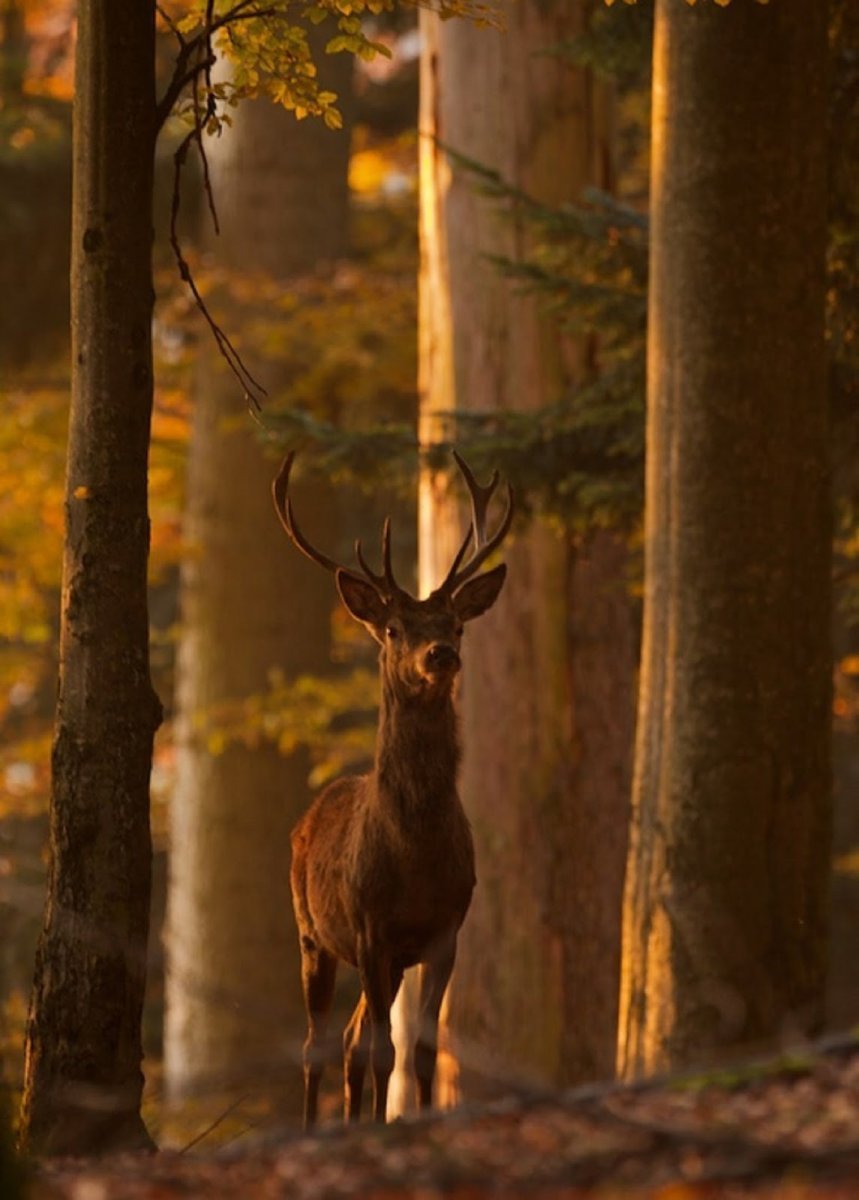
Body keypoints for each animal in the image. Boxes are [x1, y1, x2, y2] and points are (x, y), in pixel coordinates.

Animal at [272, 448, 513, 1123]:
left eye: (456, 624)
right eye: (394, 629)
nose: (441, 655)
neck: (415, 855)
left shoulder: (443, 932)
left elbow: (420, 1051)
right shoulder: (370, 926)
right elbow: (385, 1051)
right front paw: (383, 1125)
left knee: (350, 1038)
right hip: (312, 933)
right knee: (317, 1044)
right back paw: (312, 1126)